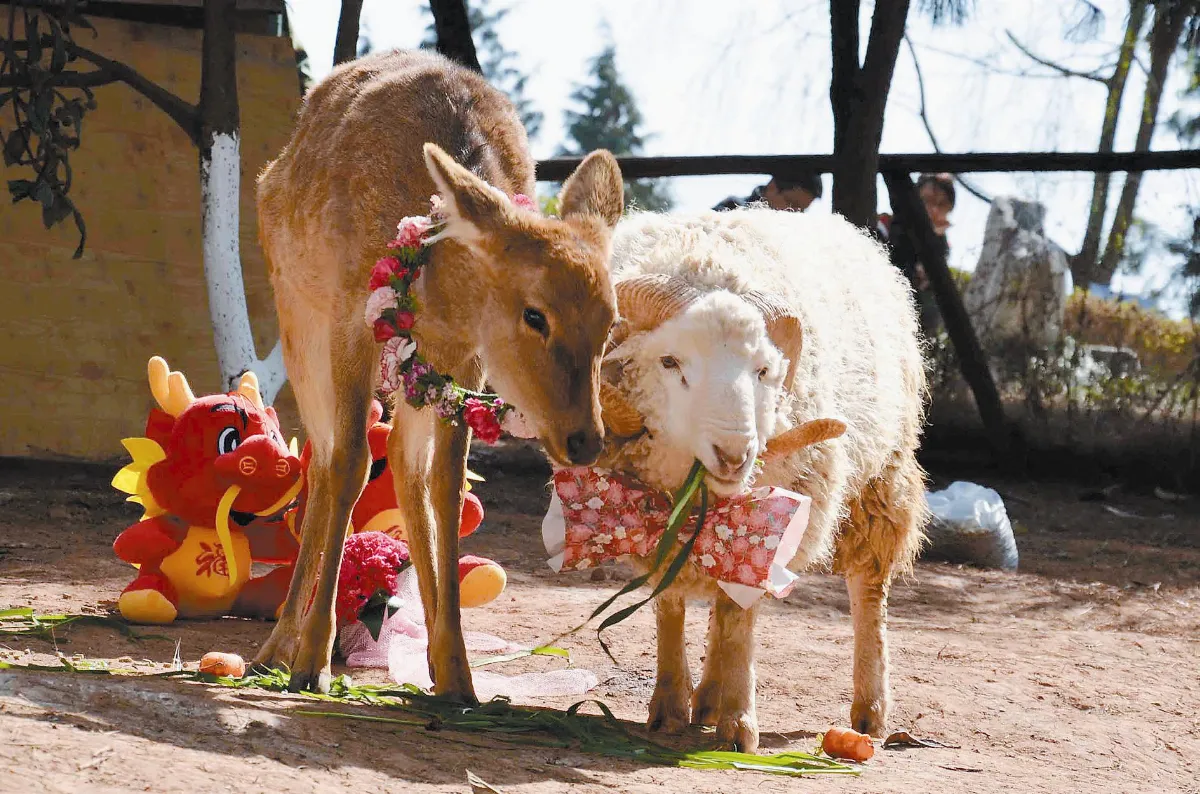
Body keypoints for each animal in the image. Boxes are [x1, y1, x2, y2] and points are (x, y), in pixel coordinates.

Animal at [253, 50, 624, 699]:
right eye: (535, 314)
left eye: (610, 321)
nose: (585, 440)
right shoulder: (350, 316)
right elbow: (351, 462)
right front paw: (312, 661)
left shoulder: (464, 356)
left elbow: (448, 482)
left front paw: (460, 676)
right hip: (296, 315)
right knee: (323, 455)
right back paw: (277, 649)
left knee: (406, 461)